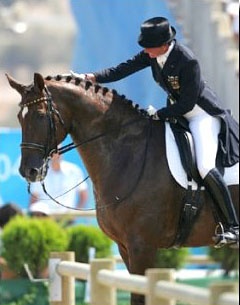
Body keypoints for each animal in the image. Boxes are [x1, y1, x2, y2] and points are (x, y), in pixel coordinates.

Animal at [6, 73, 239, 304]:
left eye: (40, 115)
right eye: (19, 117)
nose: (28, 171)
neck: (129, 153)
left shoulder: (142, 246)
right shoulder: (124, 247)